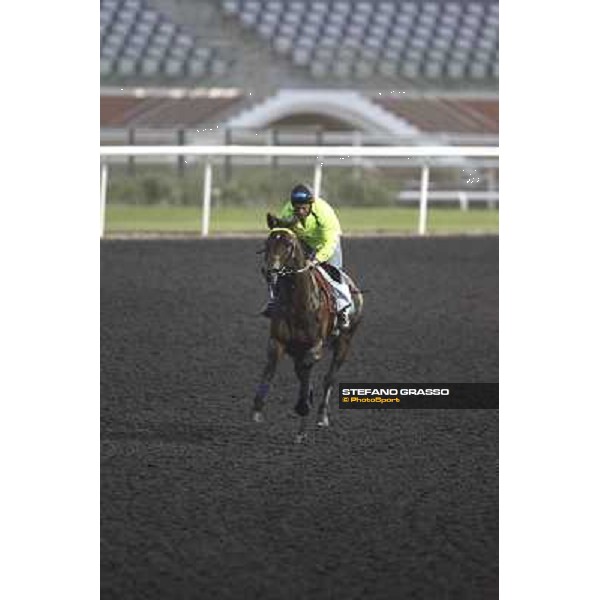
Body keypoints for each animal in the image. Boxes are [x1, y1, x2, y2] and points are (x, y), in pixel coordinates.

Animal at [251, 220, 364, 440]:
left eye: (289, 244)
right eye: (267, 241)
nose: (270, 271)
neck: (299, 303)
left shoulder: (315, 346)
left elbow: (308, 372)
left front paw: (303, 413)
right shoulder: (278, 342)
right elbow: (271, 370)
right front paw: (257, 409)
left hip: (345, 342)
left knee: (329, 378)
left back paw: (321, 416)